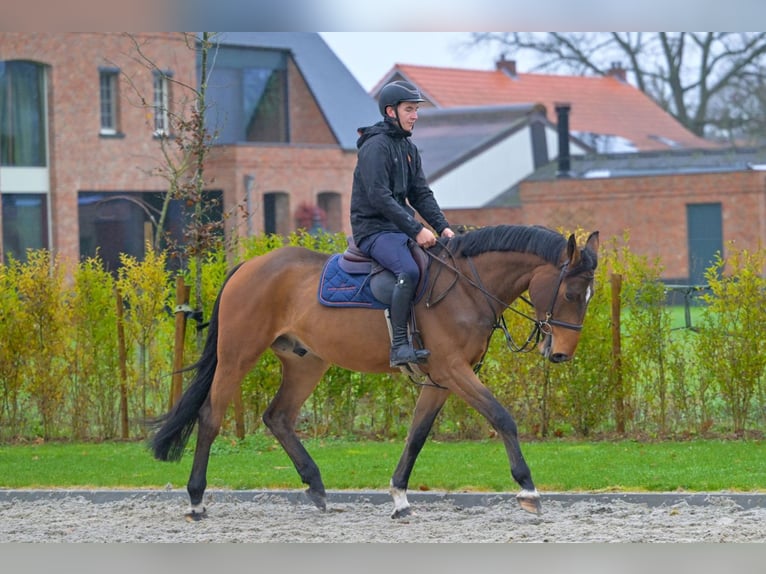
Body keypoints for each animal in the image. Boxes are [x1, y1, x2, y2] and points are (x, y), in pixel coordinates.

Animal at [152, 225, 600, 520]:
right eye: (570, 293)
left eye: (587, 297)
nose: (562, 354)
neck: (466, 288)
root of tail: (250, 265)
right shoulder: (455, 371)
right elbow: (502, 417)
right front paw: (528, 488)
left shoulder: (442, 379)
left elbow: (417, 435)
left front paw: (399, 495)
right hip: (237, 356)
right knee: (211, 417)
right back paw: (196, 499)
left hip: (306, 362)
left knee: (278, 416)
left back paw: (317, 488)